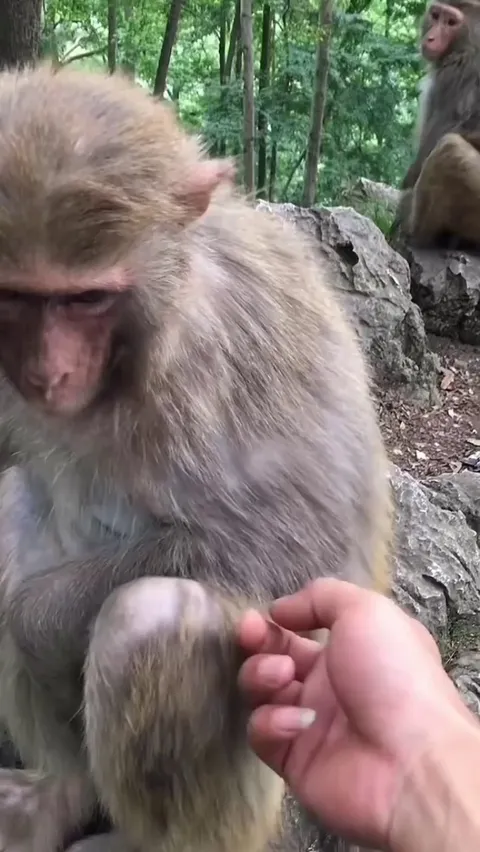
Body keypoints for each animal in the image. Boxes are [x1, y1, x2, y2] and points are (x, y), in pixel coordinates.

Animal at [0, 65, 393, 852]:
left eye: (87, 299)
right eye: (17, 297)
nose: (47, 375)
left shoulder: (217, 348)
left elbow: (297, 542)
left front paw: (34, 625)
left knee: (156, 618)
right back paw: (61, 792)